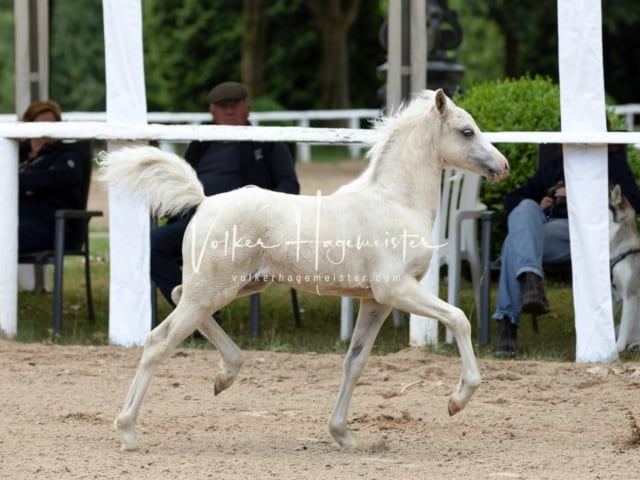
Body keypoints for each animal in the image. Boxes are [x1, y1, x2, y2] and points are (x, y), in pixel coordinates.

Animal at [101, 89, 510, 450]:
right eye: (467, 130)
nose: (503, 165)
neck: (396, 202)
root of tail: (204, 202)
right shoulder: (397, 289)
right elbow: (458, 318)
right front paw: (457, 400)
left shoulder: (376, 301)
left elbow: (355, 362)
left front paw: (342, 434)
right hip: (214, 288)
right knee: (159, 341)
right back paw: (127, 430)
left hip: (238, 285)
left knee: (175, 295)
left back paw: (225, 375)